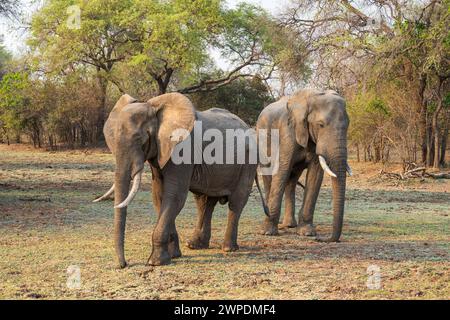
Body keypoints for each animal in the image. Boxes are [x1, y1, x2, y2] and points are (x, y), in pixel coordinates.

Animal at [95, 92, 264, 268]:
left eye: (139, 139)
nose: (124, 264)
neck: (153, 107)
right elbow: (159, 197)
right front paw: (174, 255)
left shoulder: (182, 149)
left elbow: (175, 196)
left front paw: (156, 262)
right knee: (204, 202)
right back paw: (195, 245)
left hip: (248, 162)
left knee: (236, 202)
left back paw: (228, 248)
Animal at [256, 89, 352, 241]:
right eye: (320, 125)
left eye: (348, 125)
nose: (321, 239)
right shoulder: (287, 133)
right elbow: (282, 170)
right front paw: (267, 232)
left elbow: (315, 175)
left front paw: (307, 232)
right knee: (270, 177)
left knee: (292, 179)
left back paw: (290, 225)